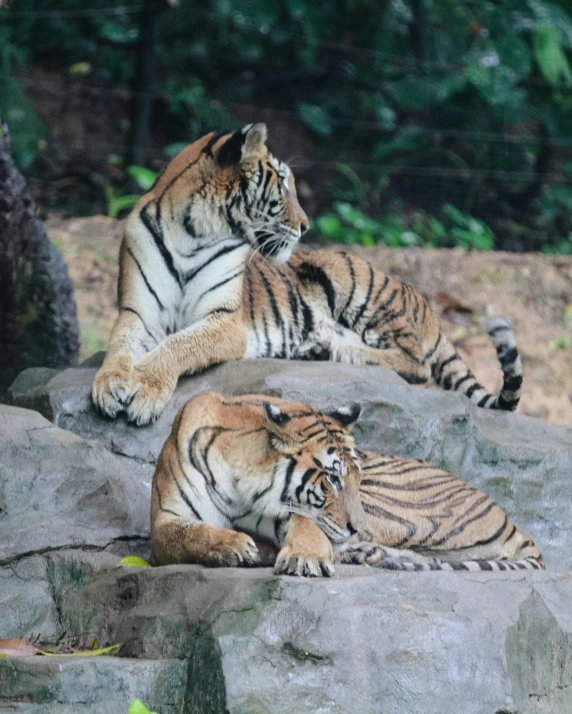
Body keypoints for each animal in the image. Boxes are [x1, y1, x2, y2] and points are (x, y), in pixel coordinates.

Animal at [92, 123, 524, 426]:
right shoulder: (138, 312)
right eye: (283, 185)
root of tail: (425, 304)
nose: (306, 226)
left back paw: (341, 351)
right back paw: (315, 348)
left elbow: (178, 345)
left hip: (357, 284)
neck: (193, 231)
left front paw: (144, 393)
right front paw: (109, 386)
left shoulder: (225, 322)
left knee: (417, 363)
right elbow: (119, 346)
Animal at [150, 386, 364, 576]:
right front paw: (234, 545)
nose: (357, 530)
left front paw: (305, 556)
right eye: (333, 479)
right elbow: (192, 533)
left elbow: (307, 523)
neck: (238, 489)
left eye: (358, 478)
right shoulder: (164, 521)